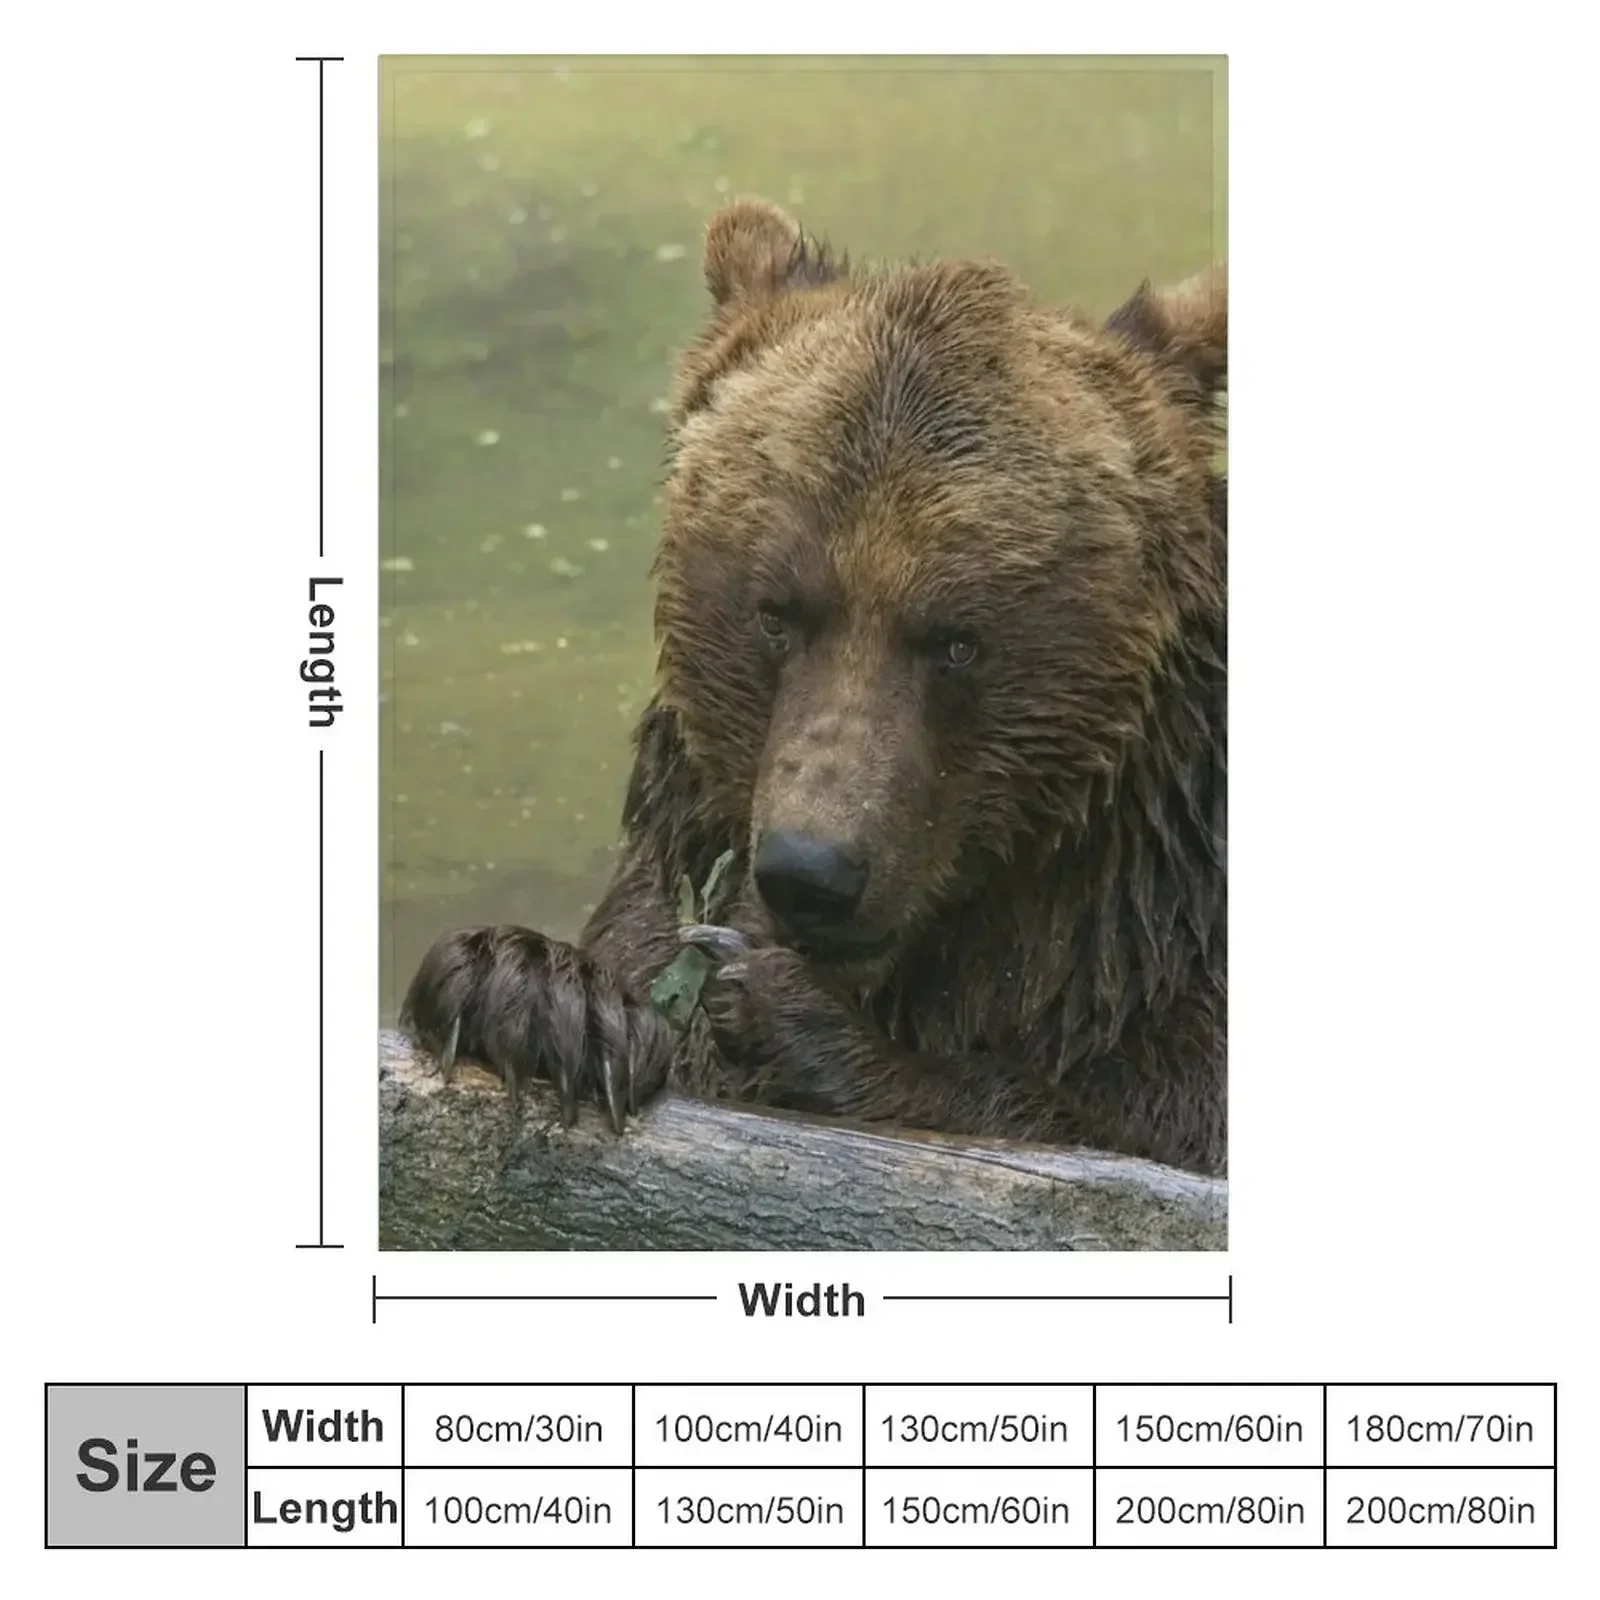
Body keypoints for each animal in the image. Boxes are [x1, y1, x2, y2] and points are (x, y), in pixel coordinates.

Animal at [401, 199, 1227, 1176]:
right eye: (776, 612)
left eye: (957, 640)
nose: (814, 873)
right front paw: (534, 993)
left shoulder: (1158, 951)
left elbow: (1116, 1119)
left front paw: (779, 1007)